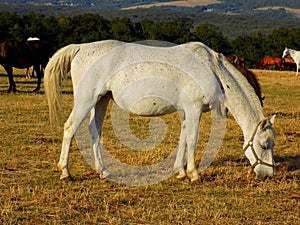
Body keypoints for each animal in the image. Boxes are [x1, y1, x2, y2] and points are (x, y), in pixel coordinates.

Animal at [44, 39, 276, 182]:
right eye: (264, 144)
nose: (268, 175)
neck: (212, 70)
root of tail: (81, 48)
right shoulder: (194, 110)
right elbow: (192, 139)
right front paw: (194, 174)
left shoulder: (186, 112)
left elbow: (183, 138)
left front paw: (180, 171)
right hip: (86, 100)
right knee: (70, 128)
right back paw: (65, 172)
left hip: (101, 100)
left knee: (94, 131)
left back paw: (104, 171)